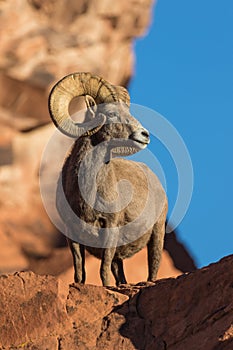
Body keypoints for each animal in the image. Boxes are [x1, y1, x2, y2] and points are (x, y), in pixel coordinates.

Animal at [48, 72, 167, 286]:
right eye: (110, 114)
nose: (144, 135)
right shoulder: (72, 235)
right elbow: (80, 272)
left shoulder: (110, 229)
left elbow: (103, 271)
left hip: (157, 234)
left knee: (153, 267)